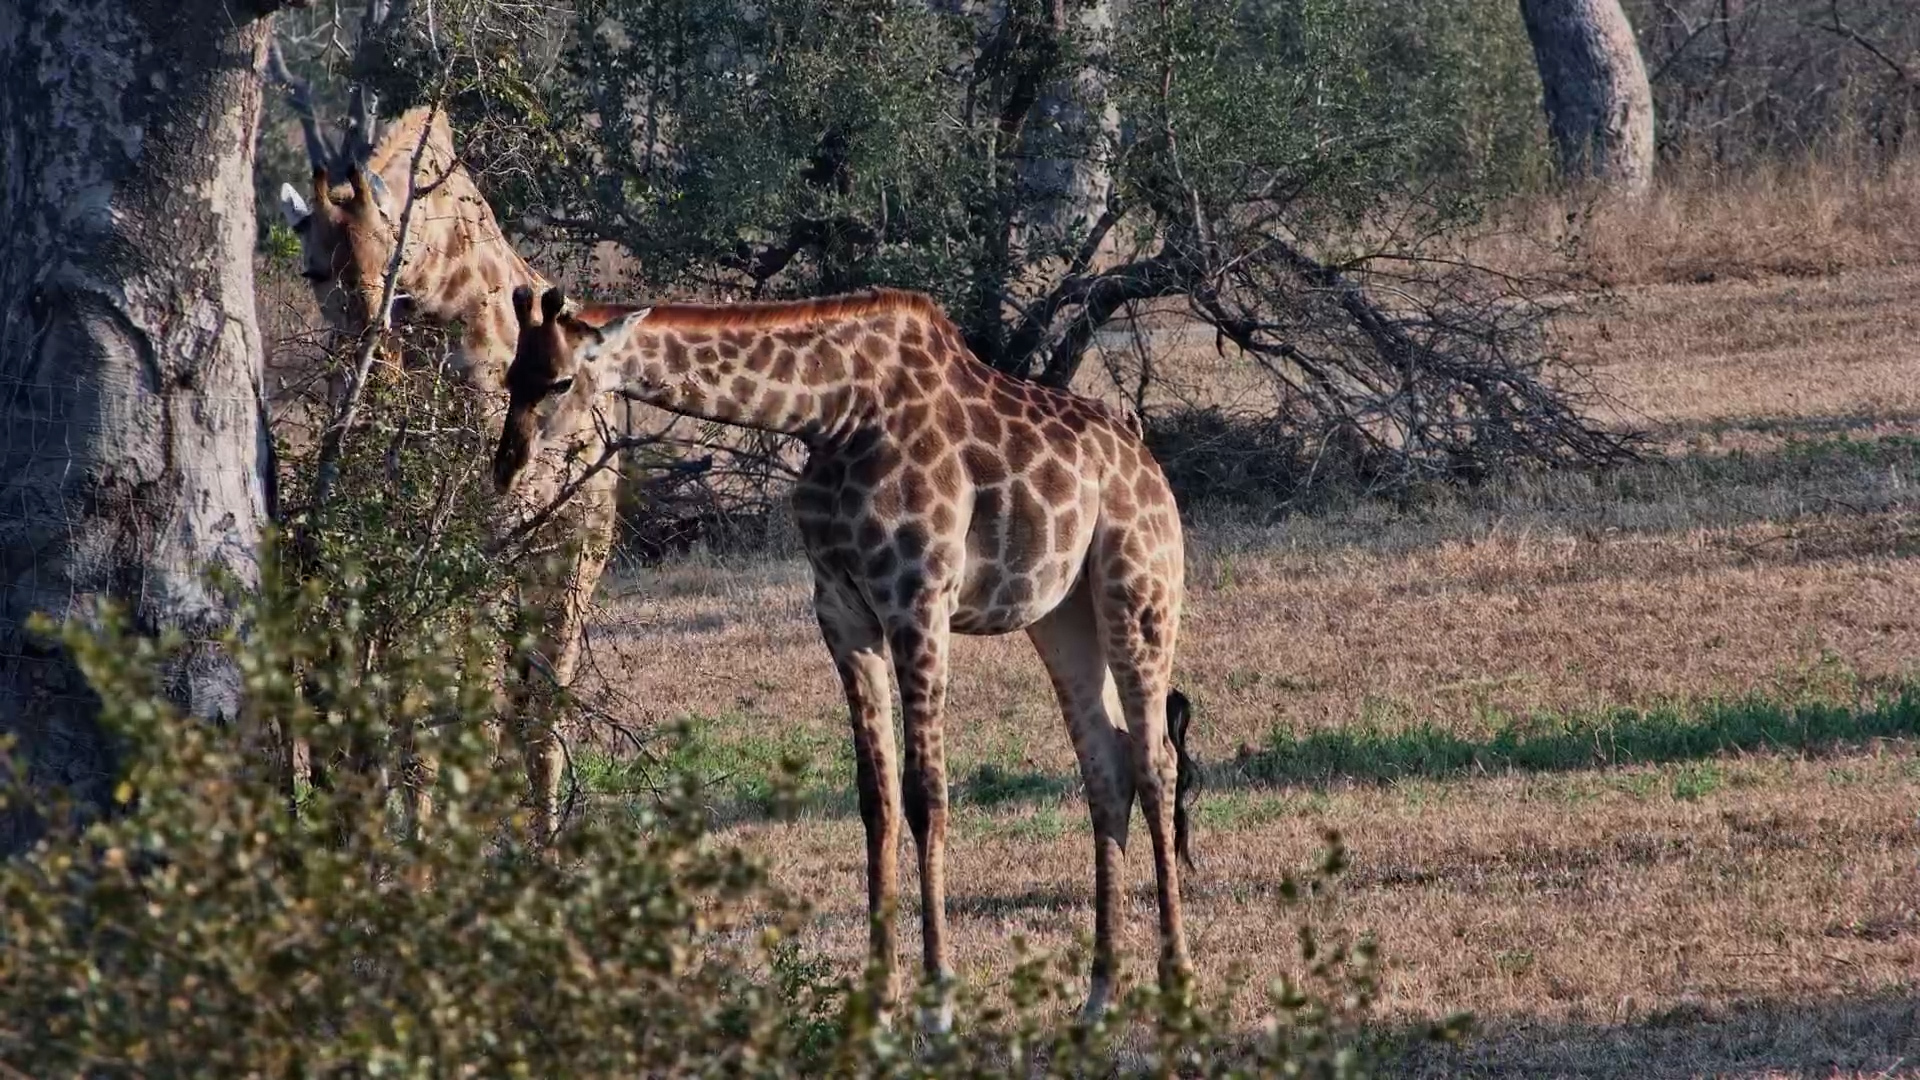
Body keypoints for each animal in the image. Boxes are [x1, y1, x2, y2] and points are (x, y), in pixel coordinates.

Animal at [275, 106, 614, 848]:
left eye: (393, 264)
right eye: (312, 272)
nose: (372, 367)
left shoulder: (473, 547)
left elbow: (453, 714)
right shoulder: (388, 552)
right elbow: (399, 708)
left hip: (571, 552)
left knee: (540, 711)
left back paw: (540, 845)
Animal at [494, 284, 1201, 1027]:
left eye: (561, 381)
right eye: (511, 375)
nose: (506, 467)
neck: (831, 413)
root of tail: (1149, 466)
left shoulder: (917, 602)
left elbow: (926, 796)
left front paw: (936, 1004)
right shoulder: (841, 609)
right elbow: (876, 797)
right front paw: (880, 1000)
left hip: (1138, 592)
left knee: (1156, 763)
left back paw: (1177, 982)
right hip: (1063, 615)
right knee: (1107, 768)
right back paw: (1098, 997)